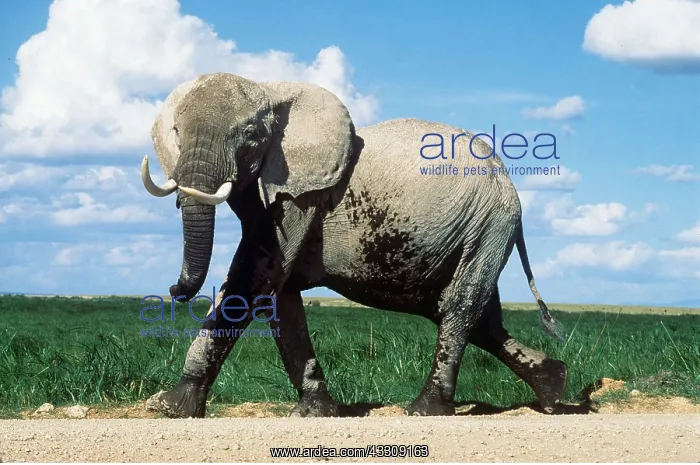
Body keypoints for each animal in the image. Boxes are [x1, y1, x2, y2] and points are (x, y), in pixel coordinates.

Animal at [140, 72, 568, 418]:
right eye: (175, 131)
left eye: (249, 135)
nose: (174, 290)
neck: (270, 89)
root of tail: (506, 179)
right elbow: (279, 293)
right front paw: (315, 413)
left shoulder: (301, 197)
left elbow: (255, 278)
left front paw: (170, 408)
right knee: (477, 317)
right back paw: (553, 390)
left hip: (488, 224)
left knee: (458, 308)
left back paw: (424, 410)